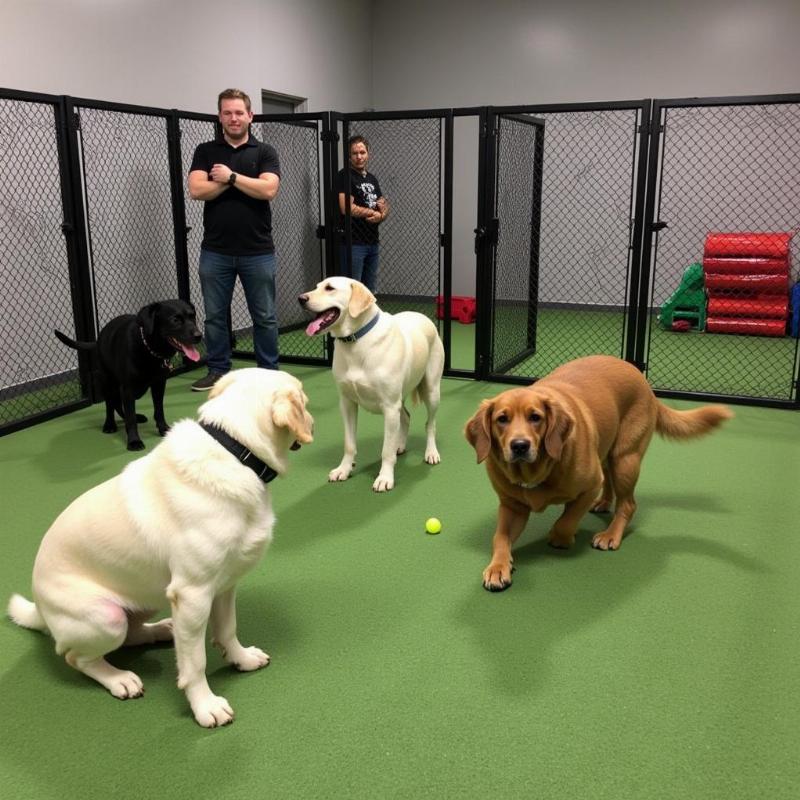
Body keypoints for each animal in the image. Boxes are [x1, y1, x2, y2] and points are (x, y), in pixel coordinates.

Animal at [10, 372, 316, 728]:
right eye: (305, 402)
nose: (312, 421)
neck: (234, 448)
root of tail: (40, 609)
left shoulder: (225, 585)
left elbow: (227, 630)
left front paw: (241, 659)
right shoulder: (193, 594)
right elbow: (195, 663)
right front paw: (205, 706)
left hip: (147, 599)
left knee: (132, 633)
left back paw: (162, 630)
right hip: (106, 617)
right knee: (76, 657)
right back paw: (119, 679)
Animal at [54, 300, 202, 450]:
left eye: (193, 317)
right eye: (175, 320)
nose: (199, 335)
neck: (149, 350)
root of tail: (98, 338)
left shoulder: (159, 384)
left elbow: (159, 410)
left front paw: (163, 429)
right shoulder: (128, 389)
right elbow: (130, 418)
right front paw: (134, 441)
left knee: (118, 405)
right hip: (107, 381)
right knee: (110, 405)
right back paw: (109, 425)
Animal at [298, 276, 440, 494]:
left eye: (330, 288)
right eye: (316, 287)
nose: (301, 299)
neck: (355, 341)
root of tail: (422, 316)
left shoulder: (389, 407)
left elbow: (385, 451)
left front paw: (385, 478)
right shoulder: (347, 404)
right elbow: (349, 444)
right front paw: (344, 470)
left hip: (431, 391)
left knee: (430, 425)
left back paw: (431, 452)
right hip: (400, 399)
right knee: (406, 417)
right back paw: (400, 445)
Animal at [466, 354, 736, 588]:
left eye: (535, 417)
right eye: (502, 419)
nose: (520, 445)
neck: (533, 473)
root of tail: (638, 373)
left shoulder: (589, 486)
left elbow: (566, 521)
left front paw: (561, 537)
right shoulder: (511, 507)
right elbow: (500, 538)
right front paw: (498, 567)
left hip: (625, 459)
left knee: (628, 504)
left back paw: (611, 535)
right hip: (607, 452)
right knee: (610, 483)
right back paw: (604, 503)